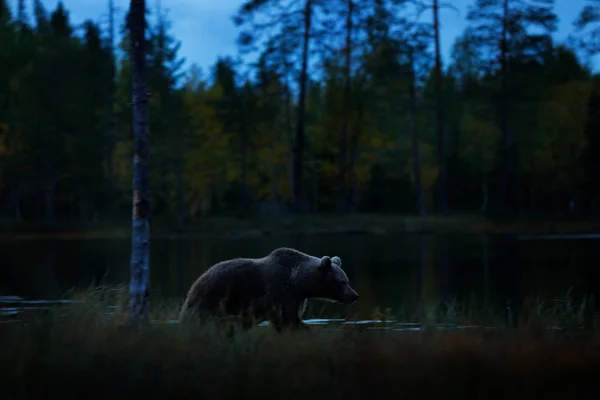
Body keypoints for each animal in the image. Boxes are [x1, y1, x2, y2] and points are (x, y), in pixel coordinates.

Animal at [176, 247, 358, 332]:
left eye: (347, 280)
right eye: (343, 282)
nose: (354, 295)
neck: (300, 282)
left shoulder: (297, 297)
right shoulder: (282, 292)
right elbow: (287, 320)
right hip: (214, 298)